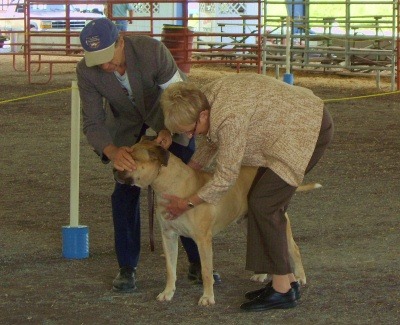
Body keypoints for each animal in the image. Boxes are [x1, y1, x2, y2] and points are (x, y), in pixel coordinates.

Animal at [114, 140, 314, 306]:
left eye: (132, 159)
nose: (115, 169)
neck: (172, 186)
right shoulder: (168, 236)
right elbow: (170, 269)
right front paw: (167, 293)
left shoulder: (203, 240)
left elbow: (206, 271)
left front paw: (207, 297)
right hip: (248, 223)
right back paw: (261, 274)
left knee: (293, 248)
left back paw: (299, 277)